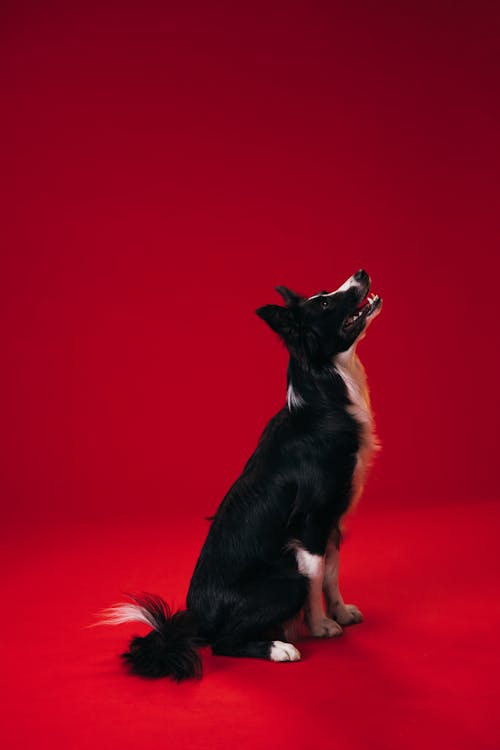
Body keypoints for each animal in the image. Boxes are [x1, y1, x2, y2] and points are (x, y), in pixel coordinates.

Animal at [100, 268, 382, 680]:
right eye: (326, 303)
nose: (360, 272)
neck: (326, 392)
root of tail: (197, 622)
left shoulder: (334, 519)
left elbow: (332, 573)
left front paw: (341, 612)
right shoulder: (311, 522)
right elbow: (316, 578)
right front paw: (321, 626)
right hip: (285, 580)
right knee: (224, 643)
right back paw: (279, 648)